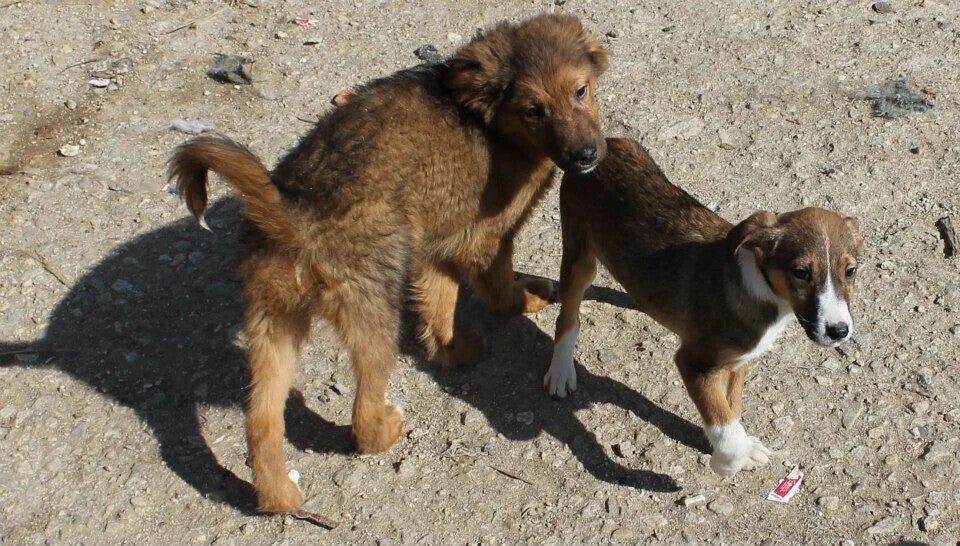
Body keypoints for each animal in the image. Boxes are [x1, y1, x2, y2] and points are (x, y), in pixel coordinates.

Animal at [167, 14, 607, 512]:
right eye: (534, 110)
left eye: (581, 91)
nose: (586, 156)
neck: (491, 122)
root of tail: (290, 214)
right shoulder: (486, 240)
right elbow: (498, 290)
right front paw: (528, 298)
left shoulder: (436, 249)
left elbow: (439, 312)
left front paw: (454, 352)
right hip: (372, 314)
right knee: (360, 416)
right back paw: (383, 430)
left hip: (272, 325)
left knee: (260, 420)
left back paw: (279, 495)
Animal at [544, 137, 862, 477]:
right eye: (800, 273)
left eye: (851, 271)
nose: (839, 331)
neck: (761, 289)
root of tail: (605, 141)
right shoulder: (694, 362)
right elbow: (726, 428)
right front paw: (726, 463)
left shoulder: (738, 362)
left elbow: (731, 411)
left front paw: (742, 446)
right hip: (580, 256)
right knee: (568, 314)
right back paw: (561, 370)